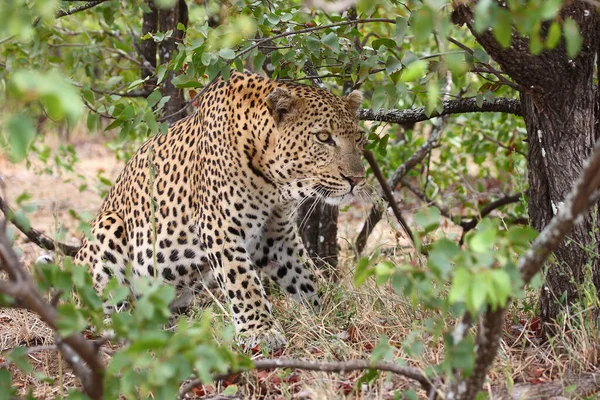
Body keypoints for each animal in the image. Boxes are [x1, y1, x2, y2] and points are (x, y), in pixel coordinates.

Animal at [75, 70, 366, 348]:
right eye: (324, 137)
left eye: (359, 137)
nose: (357, 179)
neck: (276, 182)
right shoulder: (221, 227)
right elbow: (243, 282)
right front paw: (261, 331)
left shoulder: (275, 234)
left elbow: (304, 275)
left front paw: (333, 312)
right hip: (108, 227)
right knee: (97, 309)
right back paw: (118, 326)